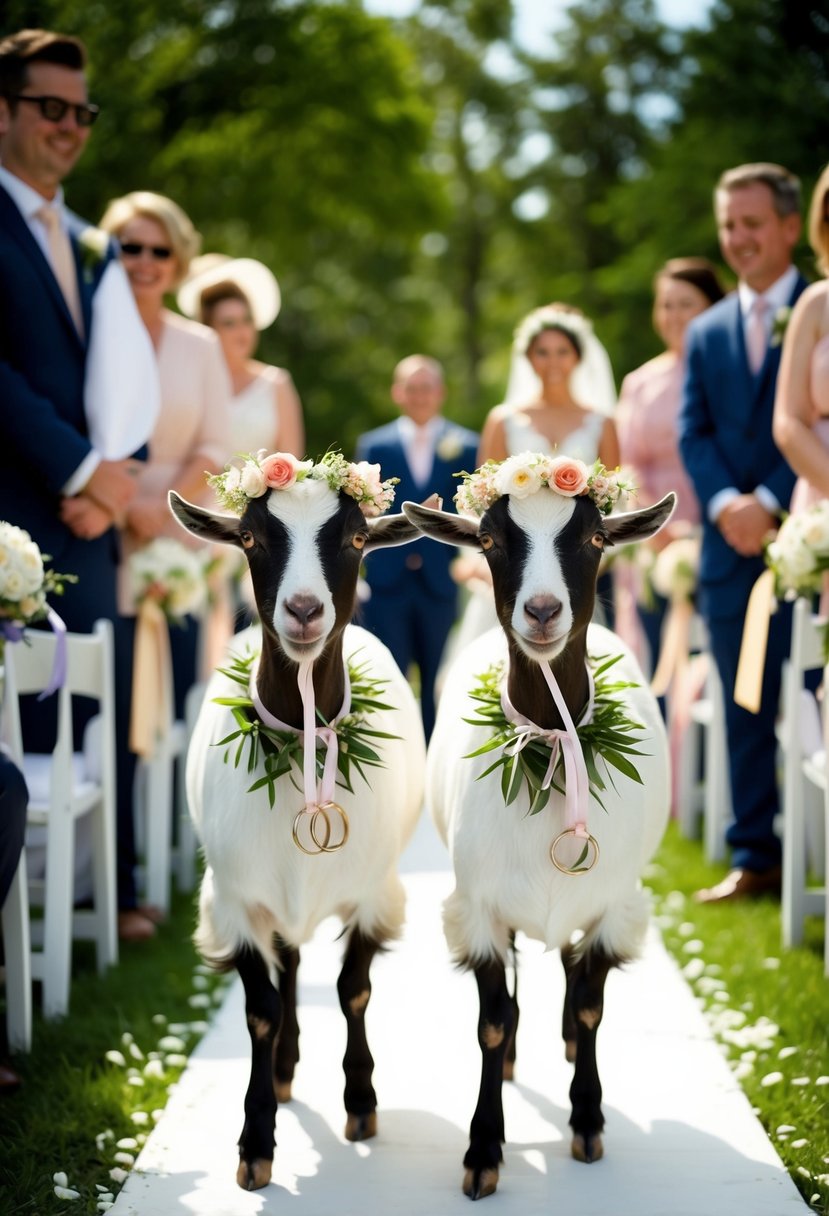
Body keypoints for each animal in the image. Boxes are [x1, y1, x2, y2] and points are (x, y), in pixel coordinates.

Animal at [170, 474, 423, 1186]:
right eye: (250, 536)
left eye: (358, 537)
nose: (305, 610)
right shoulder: (233, 902)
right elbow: (261, 1009)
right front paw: (256, 1142)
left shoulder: (373, 895)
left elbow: (353, 990)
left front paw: (361, 1102)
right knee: (288, 969)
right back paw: (283, 1072)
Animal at [403, 481, 675, 1196]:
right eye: (490, 539)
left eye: (596, 538)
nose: (544, 610)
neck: (552, 744)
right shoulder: (477, 908)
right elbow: (492, 1024)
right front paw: (483, 1150)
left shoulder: (614, 907)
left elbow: (589, 1007)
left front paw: (588, 1122)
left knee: (573, 976)